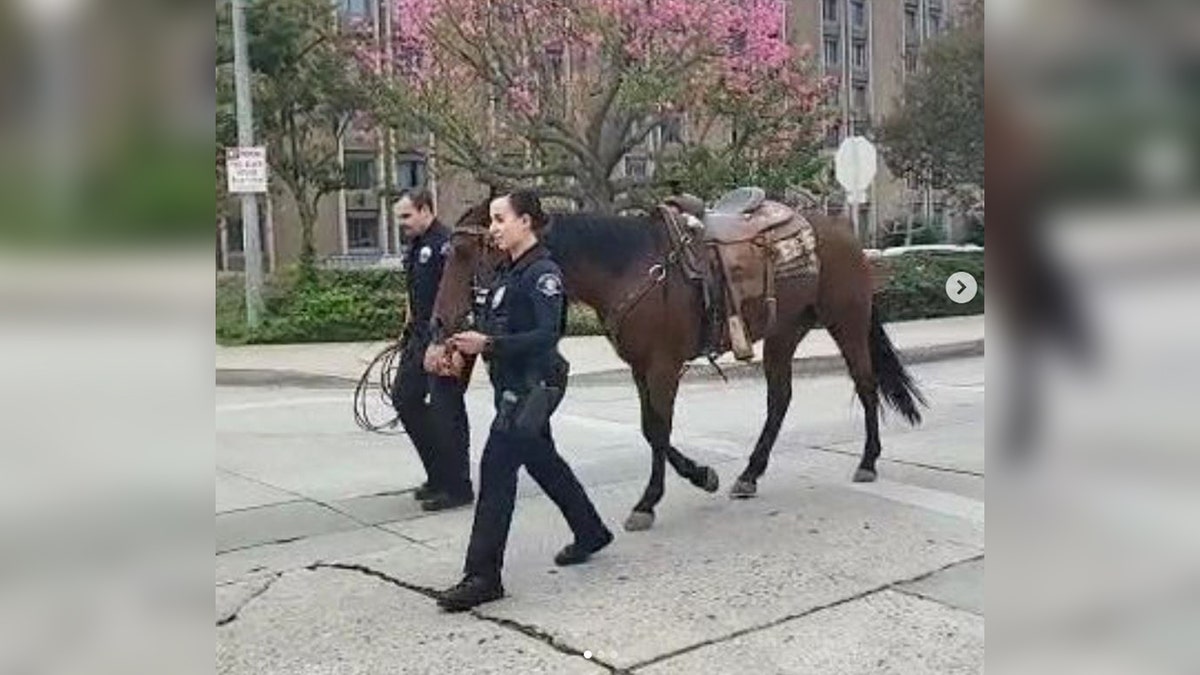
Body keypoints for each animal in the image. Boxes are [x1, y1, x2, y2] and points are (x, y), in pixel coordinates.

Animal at [432, 196, 926, 528]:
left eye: (465, 252)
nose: (438, 321)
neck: (628, 266)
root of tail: (844, 231)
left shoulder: (662, 365)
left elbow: (657, 428)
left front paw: (649, 502)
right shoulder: (640, 367)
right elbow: (652, 428)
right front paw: (702, 476)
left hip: (847, 322)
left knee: (864, 383)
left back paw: (868, 461)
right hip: (785, 331)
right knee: (780, 399)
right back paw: (750, 474)